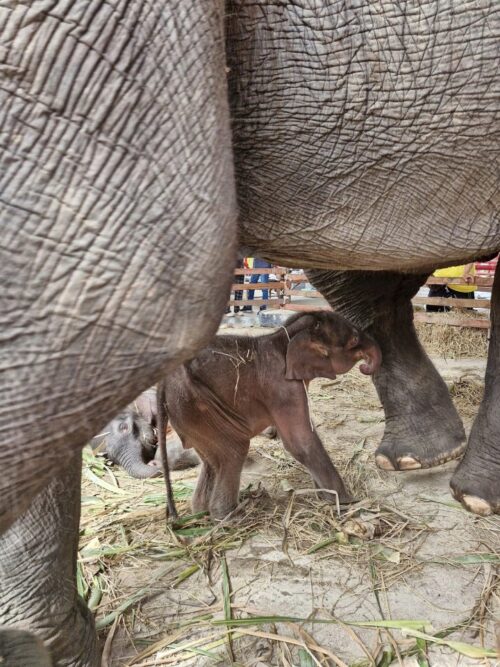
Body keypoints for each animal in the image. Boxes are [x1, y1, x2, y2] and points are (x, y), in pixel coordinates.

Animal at [163, 311, 382, 518]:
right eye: (354, 340)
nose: (365, 366)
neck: (283, 336)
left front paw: (325, 497)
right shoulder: (282, 388)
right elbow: (300, 443)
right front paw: (346, 502)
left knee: (211, 461)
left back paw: (201, 513)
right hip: (198, 407)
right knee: (235, 451)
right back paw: (232, 517)